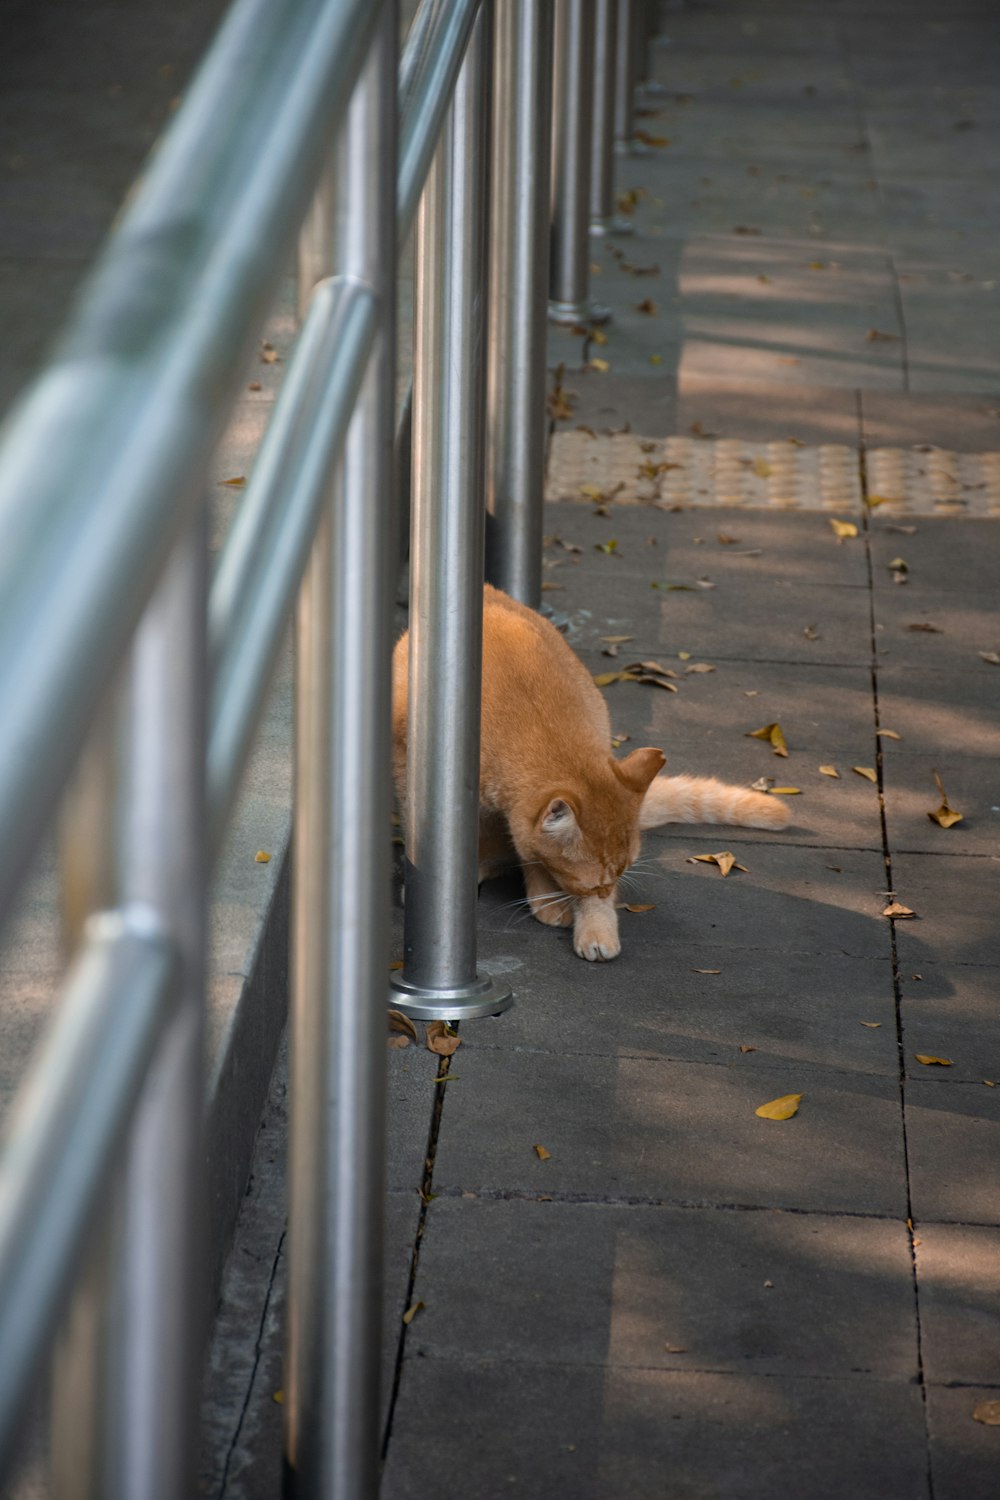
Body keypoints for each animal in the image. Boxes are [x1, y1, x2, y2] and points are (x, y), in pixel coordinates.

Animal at [389, 582, 791, 960]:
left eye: (614, 879)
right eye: (592, 884)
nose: (607, 892)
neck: (540, 725)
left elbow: (528, 850)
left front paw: (590, 922)